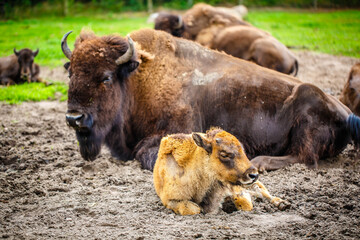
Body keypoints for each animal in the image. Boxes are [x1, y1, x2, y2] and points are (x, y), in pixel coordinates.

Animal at [61, 28, 360, 172]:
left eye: (106, 78)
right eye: (71, 73)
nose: (74, 118)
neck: (137, 80)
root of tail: (347, 113)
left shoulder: (177, 129)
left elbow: (145, 153)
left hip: (307, 105)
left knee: (305, 158)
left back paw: (259, 162)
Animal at [153, 127, 290, 216]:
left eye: (242, 150)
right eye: (224, 154)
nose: (253, 175)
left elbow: (245, 203)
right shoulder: (170, 200)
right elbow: (192, 209)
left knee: (262, 190)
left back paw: (283, 203)